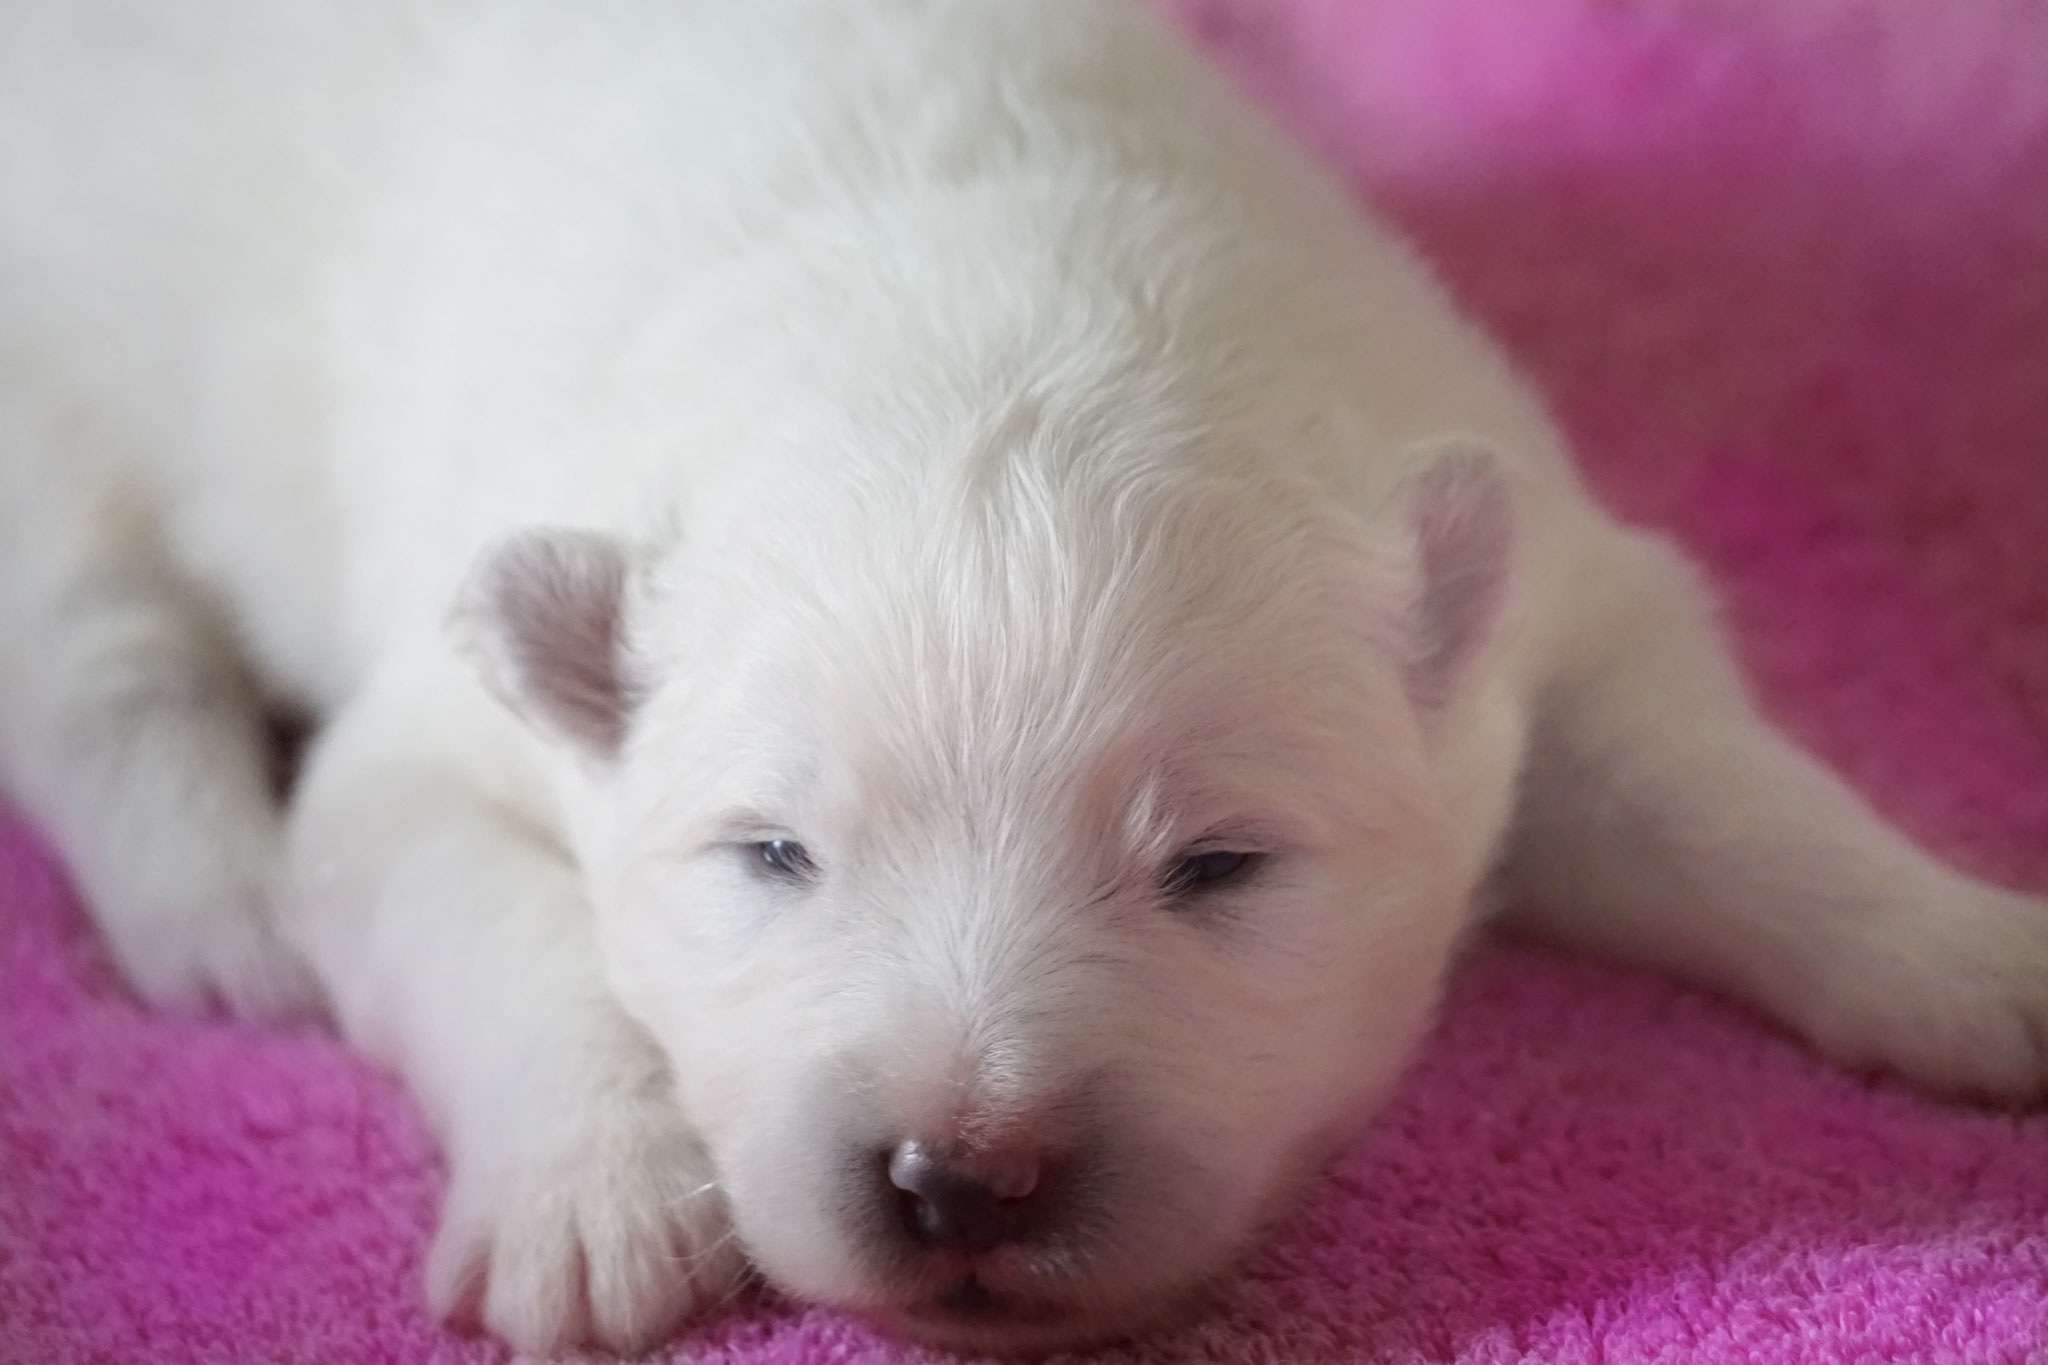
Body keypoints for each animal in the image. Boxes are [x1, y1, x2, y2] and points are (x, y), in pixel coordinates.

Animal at [4, 0, 2048, 1350]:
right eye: (771, 858)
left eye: (1220, 866)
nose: (958, 1180)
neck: (992, 320)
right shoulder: (430, 741)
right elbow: (480, 921)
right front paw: (594, 1210)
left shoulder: (1560, 601)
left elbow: (1728, 798)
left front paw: (1974, 960)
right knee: (93, 649)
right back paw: (218, 908)